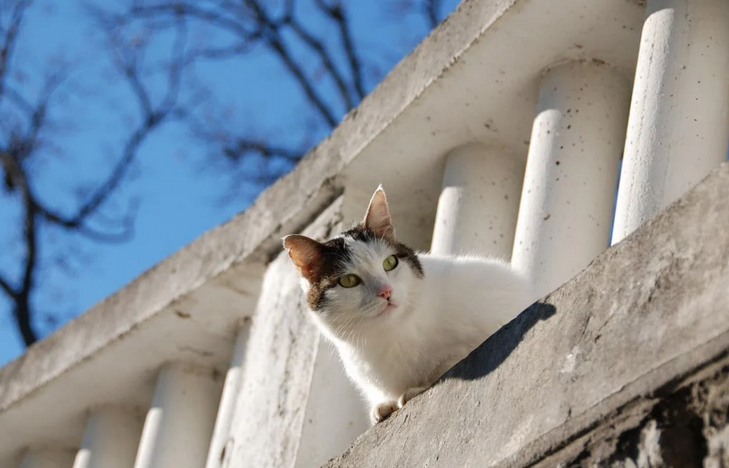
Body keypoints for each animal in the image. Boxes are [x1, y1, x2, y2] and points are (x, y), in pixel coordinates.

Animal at [282, 186, 528, 424]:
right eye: (349, 281)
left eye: (390, 263)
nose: (386, 291)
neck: (390, 333)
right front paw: (385, 405)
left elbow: (451, 360)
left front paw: (414, 390)